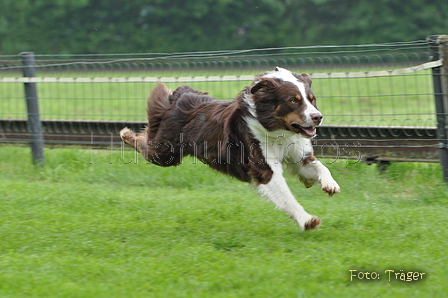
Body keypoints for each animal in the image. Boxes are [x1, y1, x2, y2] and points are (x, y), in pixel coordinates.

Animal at [120, 67, 340, 230]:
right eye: (293, 100)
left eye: (312, 99)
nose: (318, 117)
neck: (278, 131)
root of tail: (182, 93)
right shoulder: (264, 168)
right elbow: (287, 197)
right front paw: (306, 219)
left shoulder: (299, 157)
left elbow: (320, 167)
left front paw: (330, 184)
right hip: (165, 152)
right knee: (144, 141)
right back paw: (126, 134)